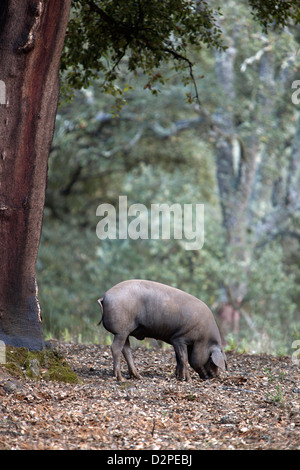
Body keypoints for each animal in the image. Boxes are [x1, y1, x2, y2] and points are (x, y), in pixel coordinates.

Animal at [97, 280, 226, 382]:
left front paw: (178, 377)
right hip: (120, 331)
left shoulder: (176, 341)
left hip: (125, 332)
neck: (203, 339)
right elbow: (184, 358)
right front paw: (188, 380)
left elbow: (179, 358)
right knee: (115, 348)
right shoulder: (180, 338)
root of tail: (104, 297)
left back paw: (138, 377)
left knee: (126, 350)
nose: (215, 376)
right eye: (211, 360)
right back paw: (120, 378)